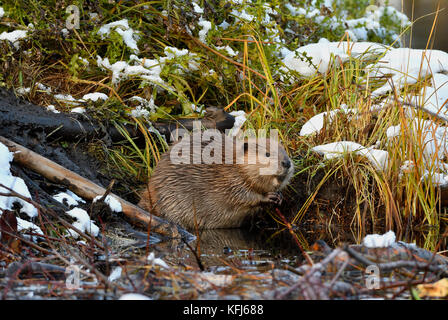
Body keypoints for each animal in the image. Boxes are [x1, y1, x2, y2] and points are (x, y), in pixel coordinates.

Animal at [139, 131, 294, 229]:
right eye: (267, 154)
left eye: (284, 151)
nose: (287, 163)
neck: (233, 163)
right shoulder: (230, 179)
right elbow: (242, 196)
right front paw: (269, 196)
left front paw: (279, 196)